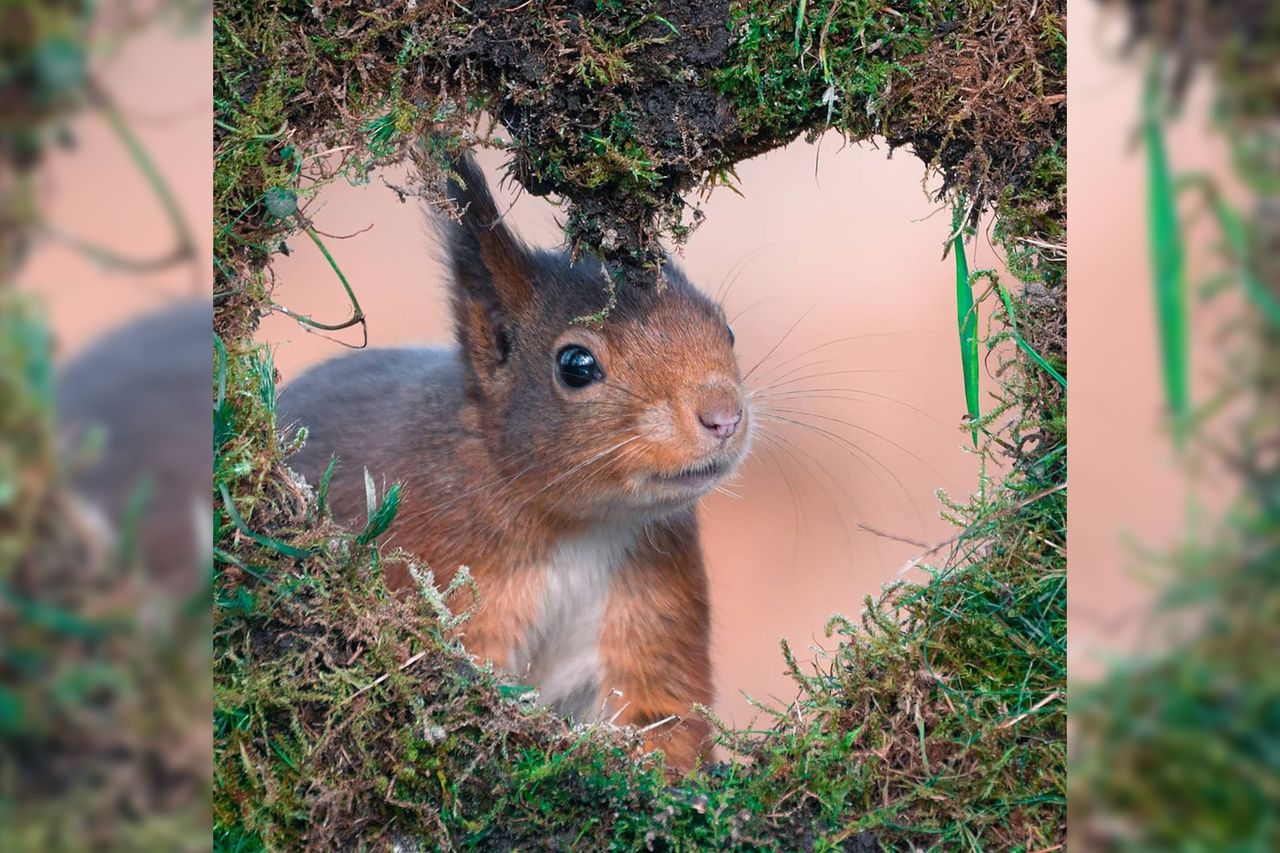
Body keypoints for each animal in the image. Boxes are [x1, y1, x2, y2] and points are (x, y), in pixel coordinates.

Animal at [280, 154, 747, 768]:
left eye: (727, 328)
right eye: (576, 365)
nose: (724, 417)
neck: (580, 529)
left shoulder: (655, 611)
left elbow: (665, 723)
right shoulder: (448, 581)